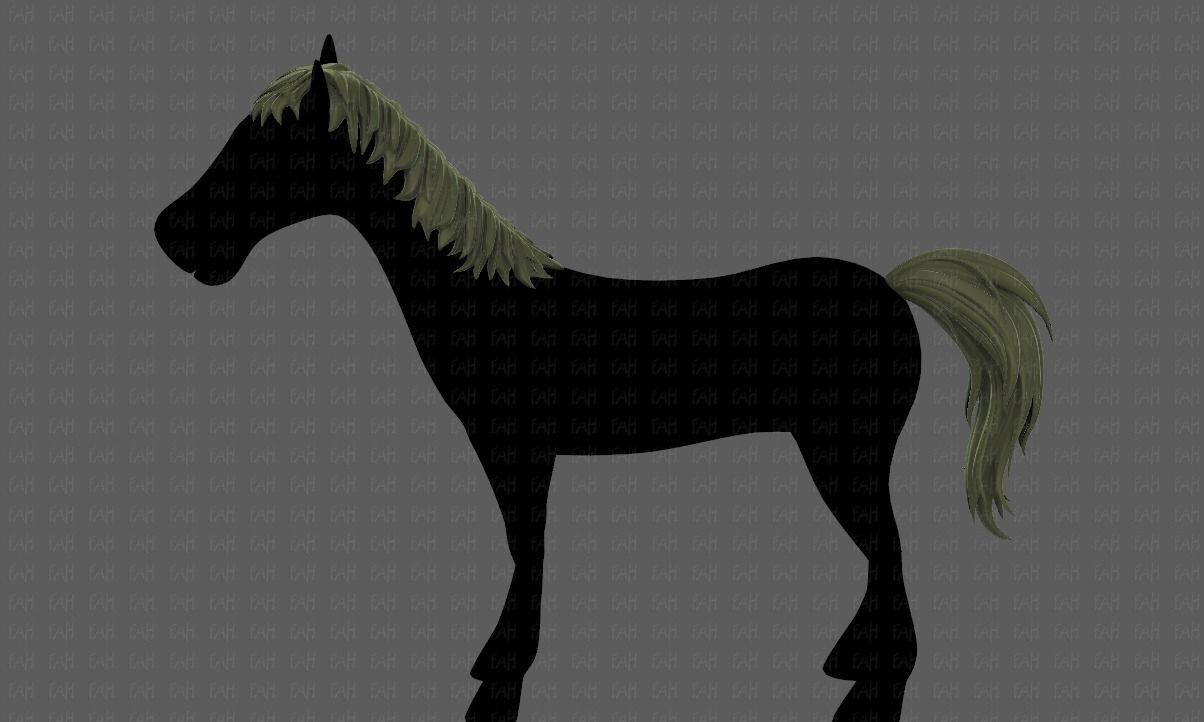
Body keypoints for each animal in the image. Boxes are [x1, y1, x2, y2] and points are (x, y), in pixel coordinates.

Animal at [154, 36, 1053, 722]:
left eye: (266, 143)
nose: (171, 234)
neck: (488, 300)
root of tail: (892, 288)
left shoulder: (517, 453)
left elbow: (526, 549)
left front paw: (502, 666)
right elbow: (526, 549)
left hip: (844, 455)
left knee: (887, 547)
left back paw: (874, 673)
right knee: (882, 552)